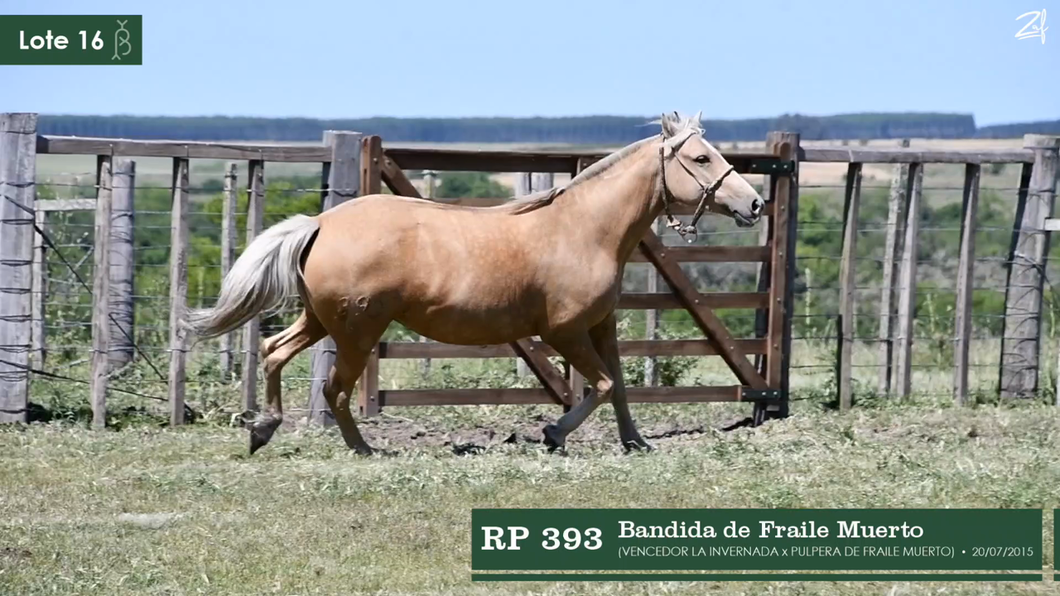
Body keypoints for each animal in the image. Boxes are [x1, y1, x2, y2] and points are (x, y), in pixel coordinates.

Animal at [188, 111, 763, 451]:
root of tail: (322, 222)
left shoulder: (602, 326)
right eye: (700, 157)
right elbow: (599, 385)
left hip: (320, 319)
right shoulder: (564, 332)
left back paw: (263, 429)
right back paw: (362, 448)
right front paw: (552, 433)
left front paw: (635, 442)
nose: (754, 204)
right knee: (334, 388)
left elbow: (619, 386)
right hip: (357, 331)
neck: (585, 230)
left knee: (274, 351)